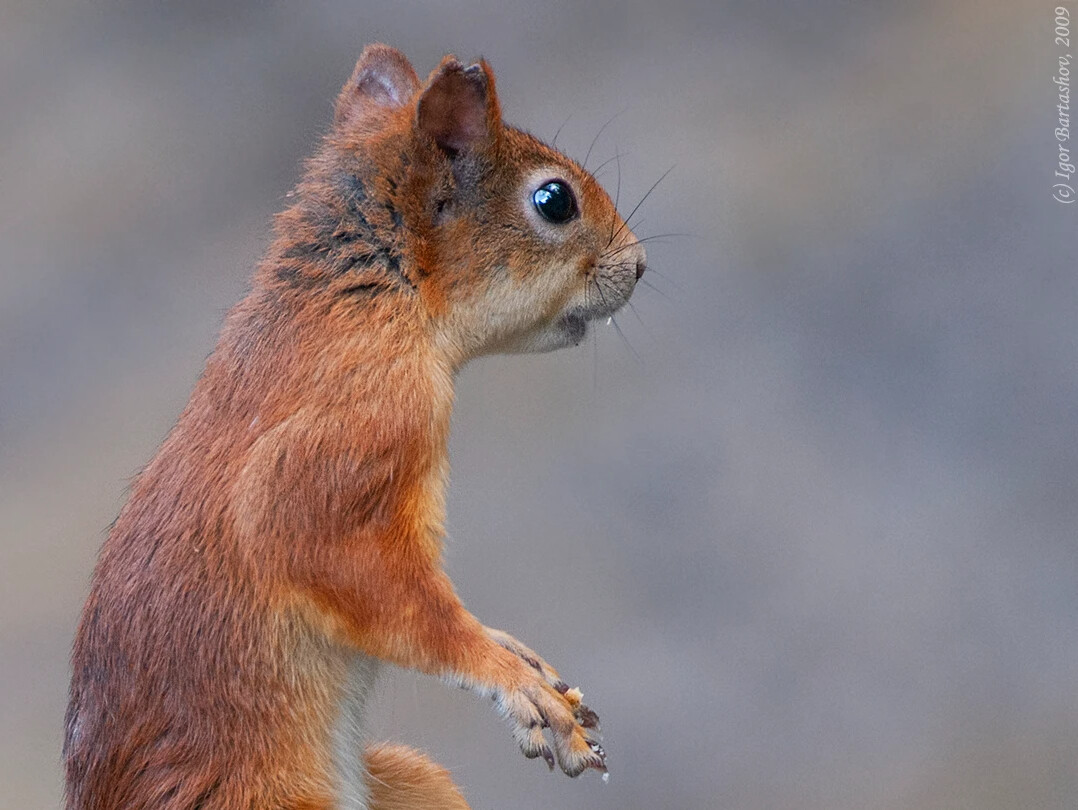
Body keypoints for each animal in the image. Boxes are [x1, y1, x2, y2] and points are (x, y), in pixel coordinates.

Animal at [65, 45, 646, 810]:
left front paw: (515, 650)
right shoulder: (351, 441)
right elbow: (380, 589)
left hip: (410, 779)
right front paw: (510, 678)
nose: (639, 265)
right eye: (555, 201)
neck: (376, 302)